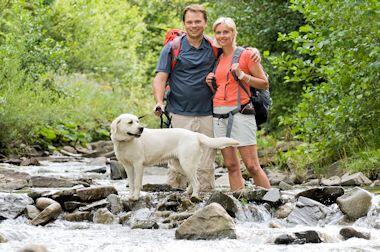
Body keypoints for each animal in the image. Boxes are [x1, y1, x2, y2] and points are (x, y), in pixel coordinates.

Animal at [110, 113, 240, 200]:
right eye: (130, 122)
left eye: (137, 121)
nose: (141, 128)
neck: (125, 142)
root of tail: (195, 135)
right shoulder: (127, 166)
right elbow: (131, 183)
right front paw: (130, 196)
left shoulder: (138, 164)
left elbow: (137, 183)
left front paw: (136, 197)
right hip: (181, 165)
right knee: (195, 178)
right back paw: (188, 192)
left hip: (186, 163)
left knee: (196, 182)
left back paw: (194, 196)